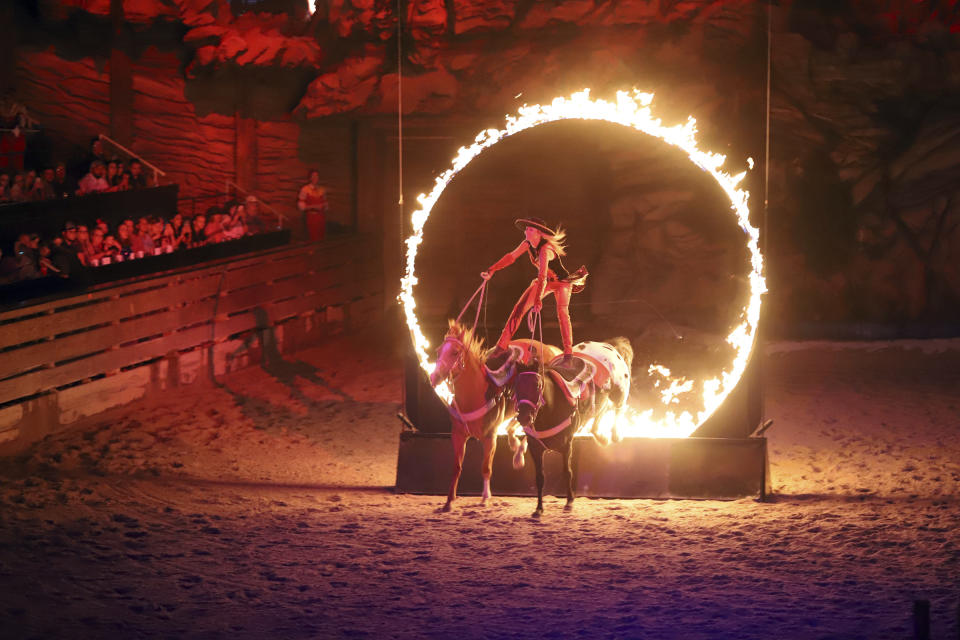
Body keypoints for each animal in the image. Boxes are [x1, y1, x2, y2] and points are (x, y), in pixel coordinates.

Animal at [430, 322, 564, 512]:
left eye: (455, 352)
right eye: (438, 351)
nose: (434, 377)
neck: (475, 394)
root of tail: (549, 348)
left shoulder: (490, 437)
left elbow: (486, 467)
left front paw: (485, 498)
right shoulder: (458, 435)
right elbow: (457, 467)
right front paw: (449, 501)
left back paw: (518, 454)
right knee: (514, 426)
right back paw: (516, 448)